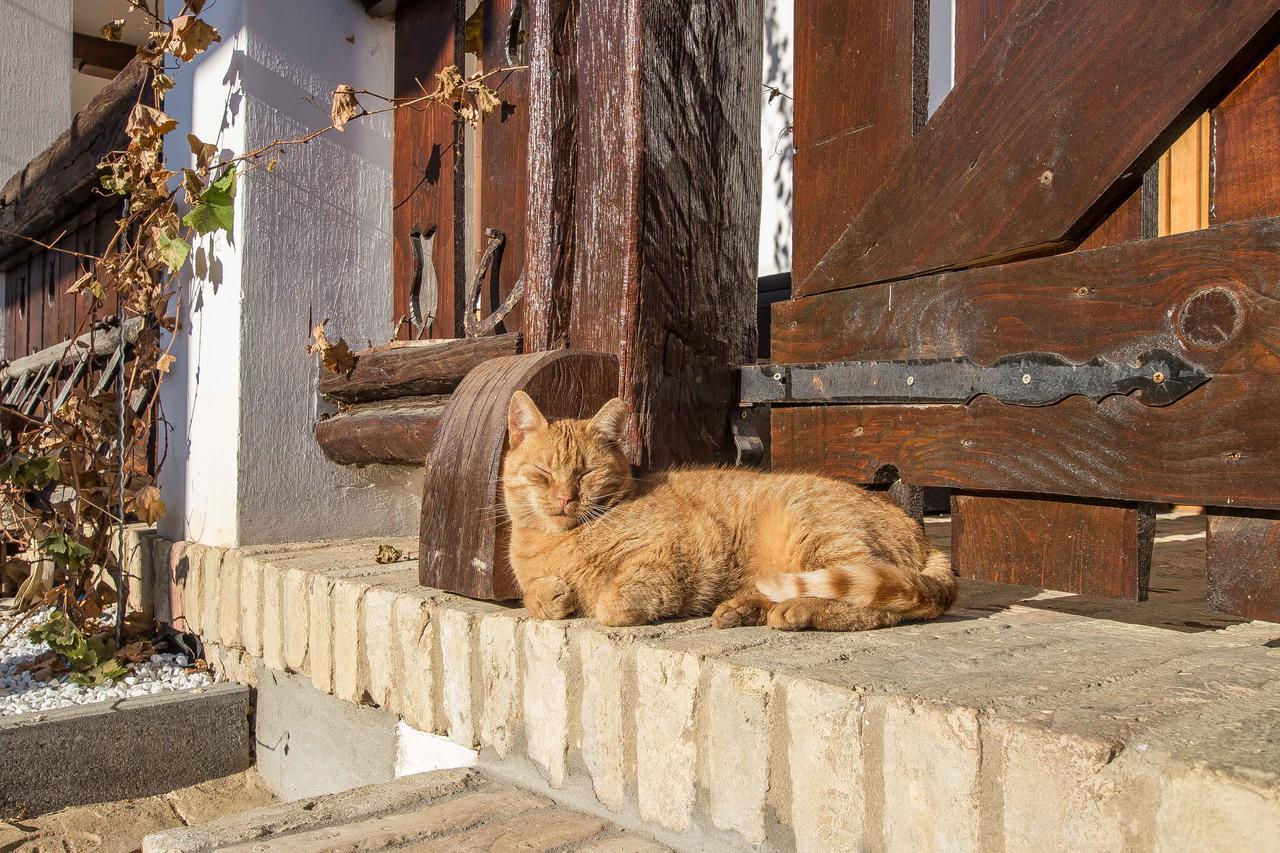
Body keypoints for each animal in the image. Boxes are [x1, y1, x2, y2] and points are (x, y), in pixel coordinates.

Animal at [504, 389, 957, 627]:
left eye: (586, 473)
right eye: (543, 473)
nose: (566, 498)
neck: (560, 543)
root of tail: (921, 535)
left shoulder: (668, 552)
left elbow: (613, 603)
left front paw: (599, 600)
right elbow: (531, 599)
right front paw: (551, 595)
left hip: (814, 531)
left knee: (875, 608)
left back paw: (794, 611)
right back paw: (742, 610)